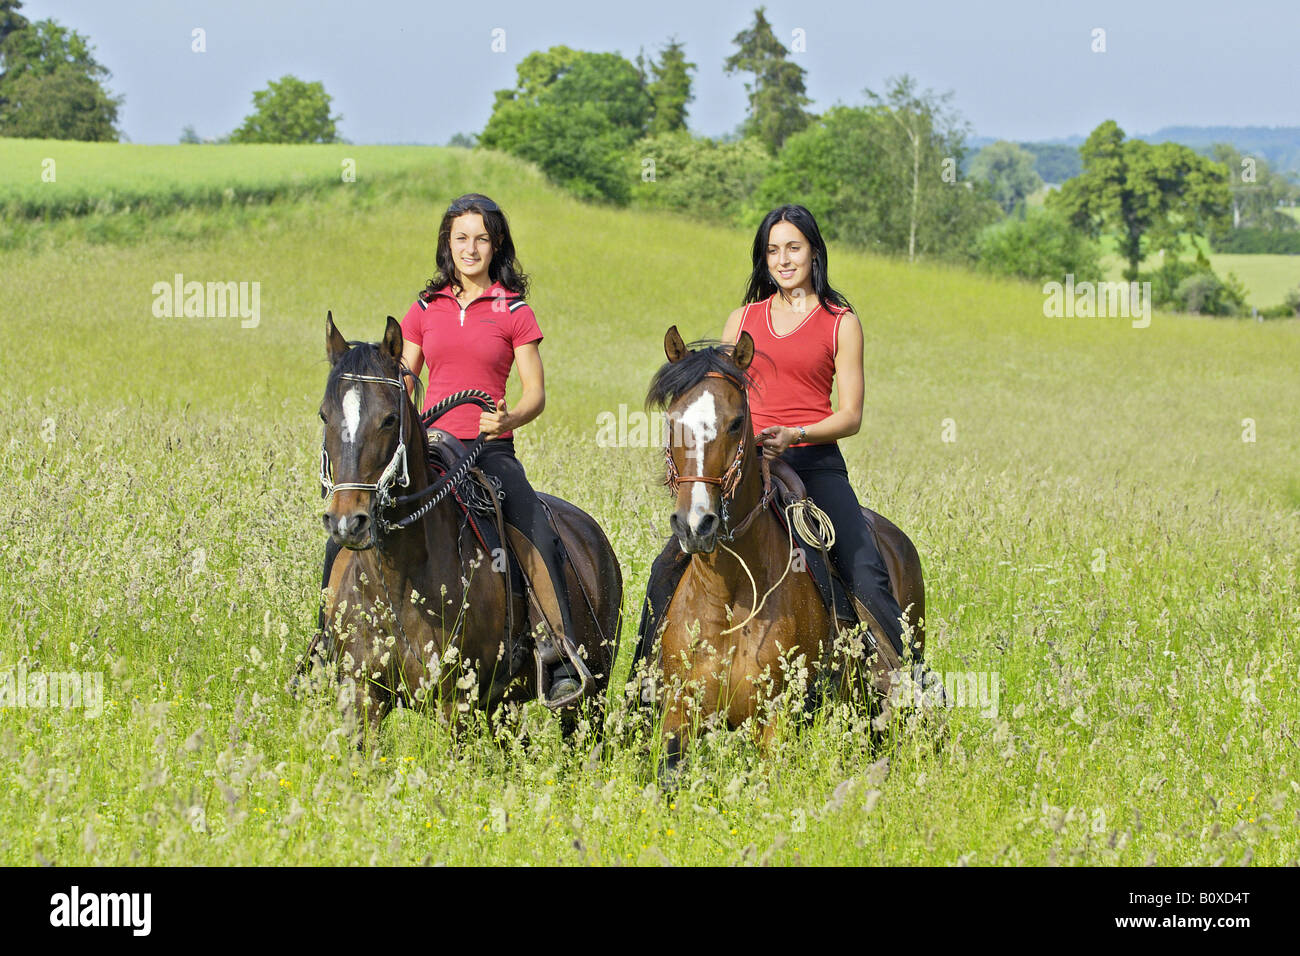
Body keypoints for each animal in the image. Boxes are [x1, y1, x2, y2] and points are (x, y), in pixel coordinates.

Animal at [312, 314, 621, 738]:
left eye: (389, 419)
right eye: (325, 415)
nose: (347, 522)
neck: (398, 584)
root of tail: (593, 533)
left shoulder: (455, 704)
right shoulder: (362, 698)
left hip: (589, 699)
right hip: (505, 705)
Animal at [644, 327, 920, 780]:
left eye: (736, 422)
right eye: (672, 421)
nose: (695, 525)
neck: (731, 594)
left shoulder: (776, 722)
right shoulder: (678, 715)